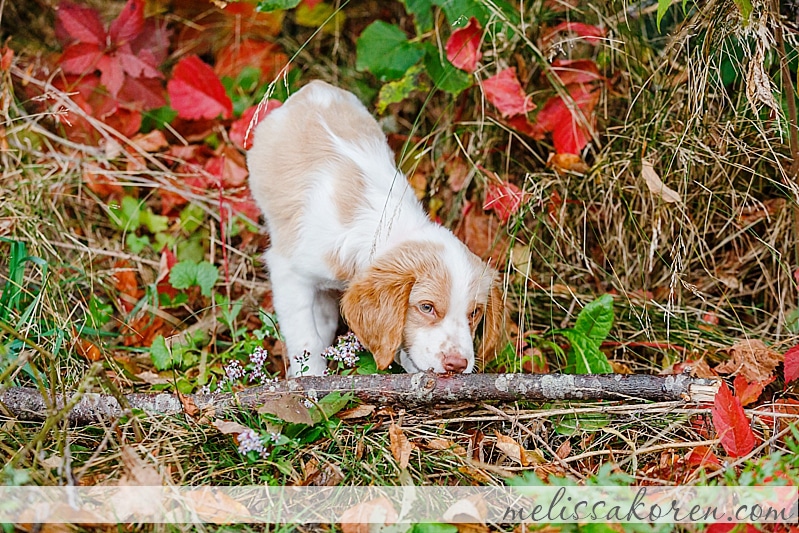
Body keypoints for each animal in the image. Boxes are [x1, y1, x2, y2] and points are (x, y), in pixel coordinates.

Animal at [247, 81, 504, 376]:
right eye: (426, 307)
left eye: (474, 313)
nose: (457, 365)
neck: (389, 228)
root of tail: (315, 87)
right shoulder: (288, 271)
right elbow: (304, 336)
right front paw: (310, 376)